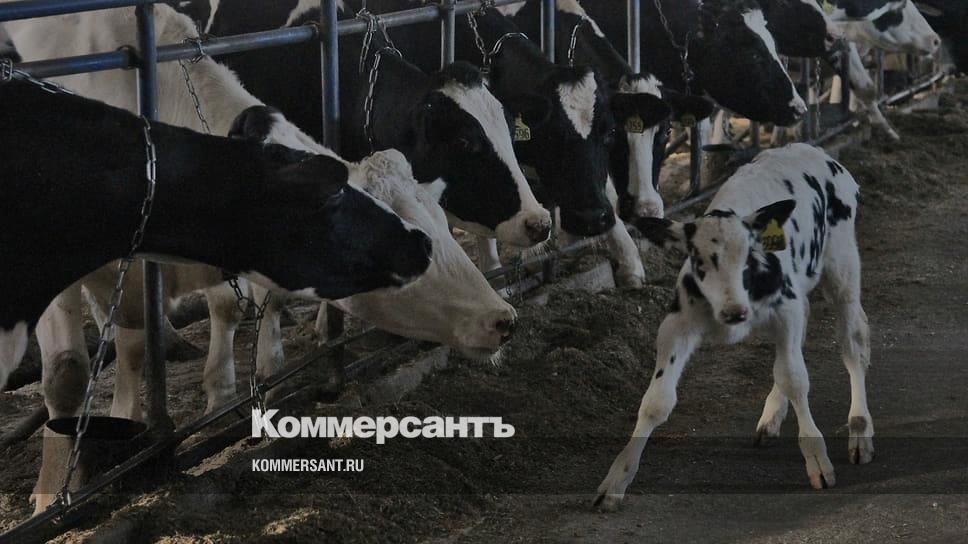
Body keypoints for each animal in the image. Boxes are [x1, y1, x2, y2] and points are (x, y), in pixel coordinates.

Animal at [595, 143, 871, 510]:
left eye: (748, 255)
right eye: (698, 260)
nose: (735, 312)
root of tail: (810, 149)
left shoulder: (785, 310)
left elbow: (795, 378)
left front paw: (817, 459)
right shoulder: (677, 325)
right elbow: (656, 401)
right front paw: (617, 479)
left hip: (842, 266)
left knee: (852, 341)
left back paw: (860, 430)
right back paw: (771, 417)